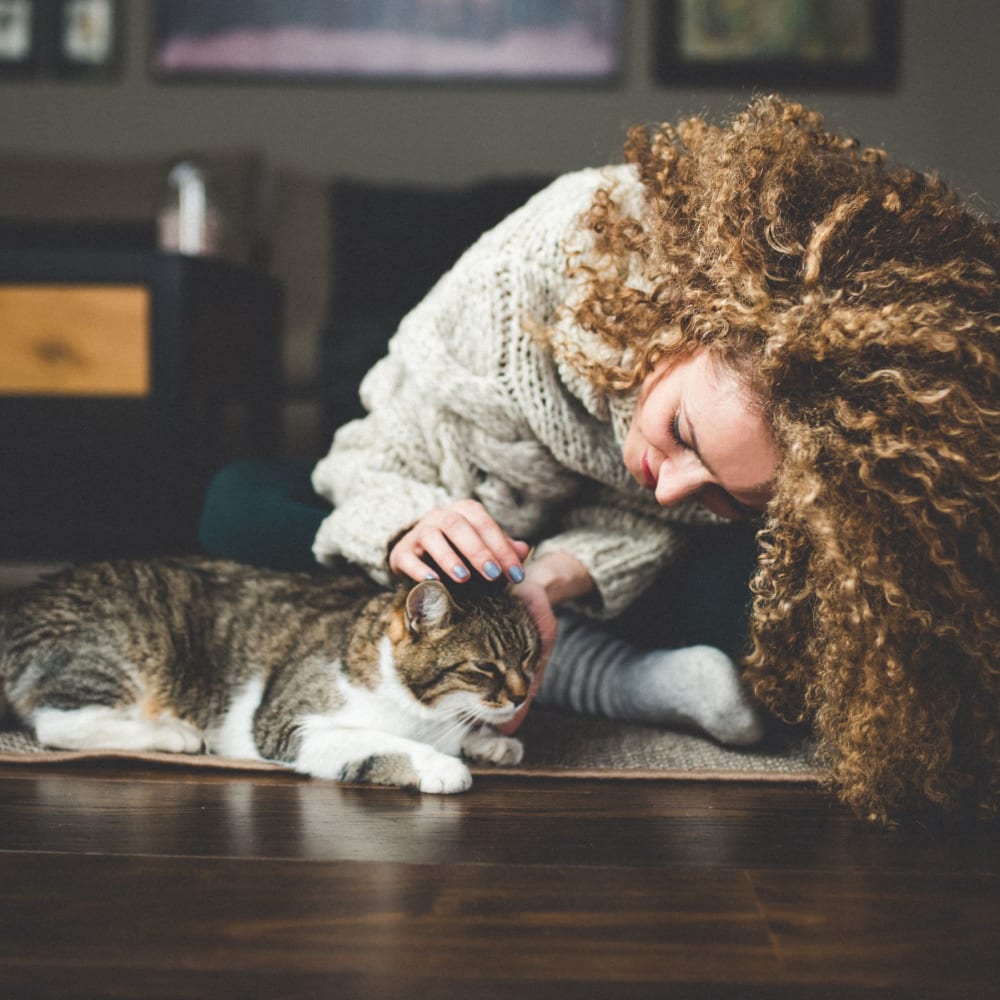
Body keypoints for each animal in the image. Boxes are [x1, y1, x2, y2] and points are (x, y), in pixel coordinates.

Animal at [0, 560, 540, 792]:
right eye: (484, 667)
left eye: (530, 657)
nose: (521, 698)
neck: (425, 712)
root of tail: (19, 603)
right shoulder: (286, 724)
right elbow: (379, 743)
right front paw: (440, 765)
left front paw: (488, 741)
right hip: (127, 643)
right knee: (57, 723)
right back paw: (174, 734)